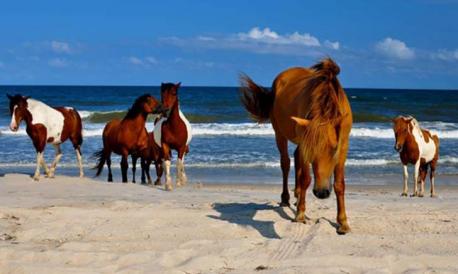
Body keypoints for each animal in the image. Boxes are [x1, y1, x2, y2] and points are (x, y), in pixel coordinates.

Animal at [240, 58, 354, 233]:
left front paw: (343, 222)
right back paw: (286, 198)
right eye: (312, 151)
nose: (321, 193)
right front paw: (300, 214)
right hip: (280, 134)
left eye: (334, 149)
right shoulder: (305, 145)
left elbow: (339, 184)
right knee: (286, 163)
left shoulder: (343, 147)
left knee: (296, 159)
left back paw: (297, 194)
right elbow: (305, 178)